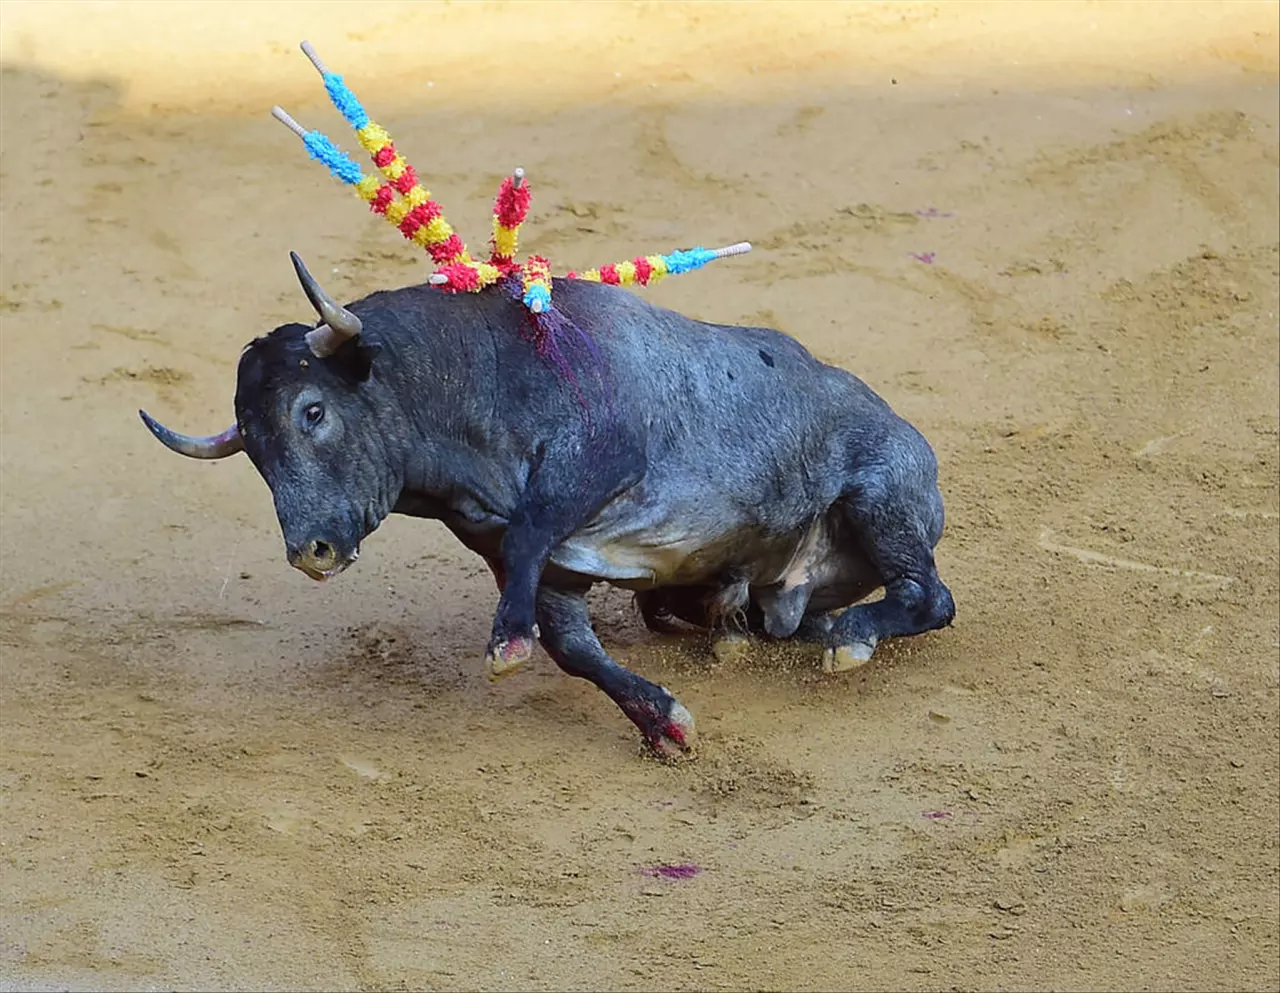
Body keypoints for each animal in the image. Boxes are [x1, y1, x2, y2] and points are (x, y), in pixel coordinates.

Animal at [145, 252, 957, 757]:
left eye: (312, 411)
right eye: (252, 449)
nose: (308, 551)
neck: (473, 376)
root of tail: (912, 437)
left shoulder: (602, 462)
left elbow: (535, 532)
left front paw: (505, 645)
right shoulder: (536, 566)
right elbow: (571, 646)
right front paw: (663, 722)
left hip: (884, 496)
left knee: (929, 596)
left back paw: (851, 639)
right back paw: (741, 626)